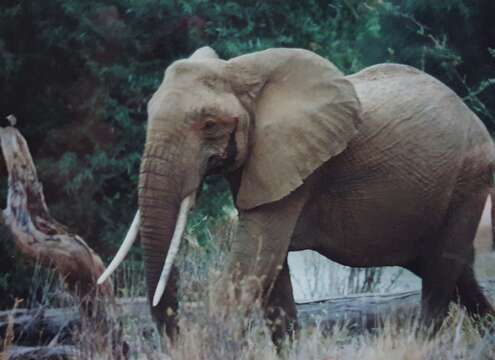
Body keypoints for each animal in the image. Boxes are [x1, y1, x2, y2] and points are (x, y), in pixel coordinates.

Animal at [98, 45, 495, 344]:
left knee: (441, 275)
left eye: (209, 125)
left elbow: (254, 262)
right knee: (454, 271)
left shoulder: (298, 165)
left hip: (469, 178)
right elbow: (272, 277)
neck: (239, 72)